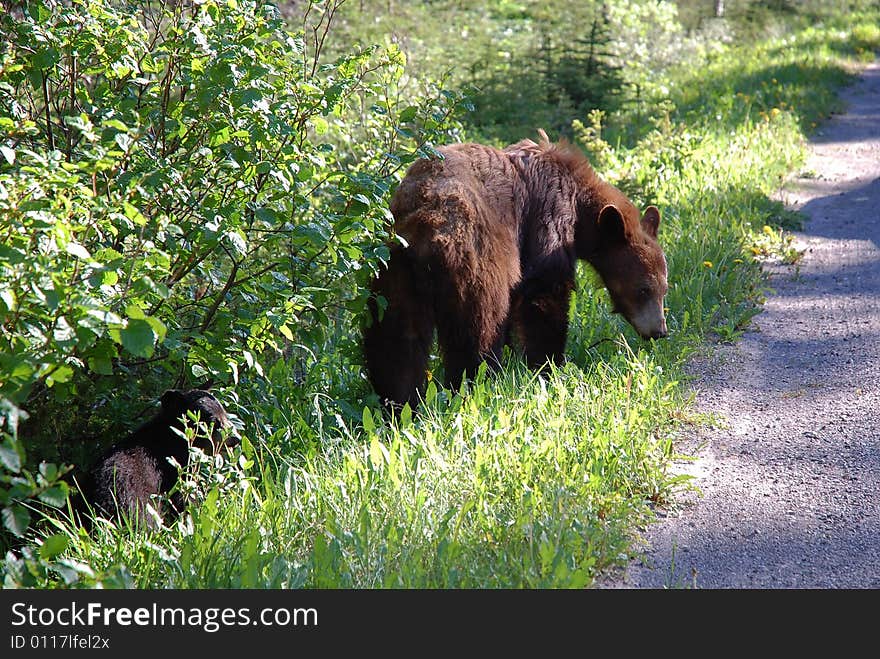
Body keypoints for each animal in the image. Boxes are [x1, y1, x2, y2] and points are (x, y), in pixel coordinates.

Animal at [362, 131, 668, 410]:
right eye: (644, 289)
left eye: (664, 289)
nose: (659, 331)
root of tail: (425, 224)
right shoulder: (547, 218)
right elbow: (545, 294)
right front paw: (549, 364)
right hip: (477, 263)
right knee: (478, 330)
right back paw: (475, 383)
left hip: (392, 271)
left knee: (397, 339)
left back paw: (399, 401)